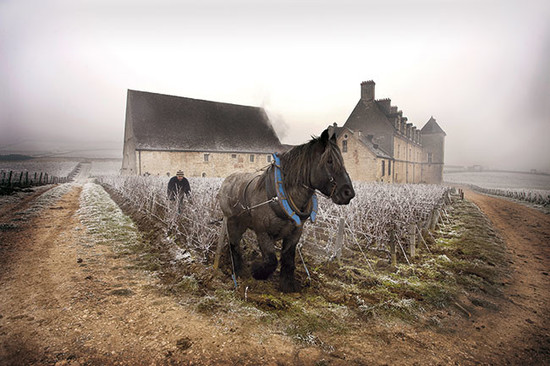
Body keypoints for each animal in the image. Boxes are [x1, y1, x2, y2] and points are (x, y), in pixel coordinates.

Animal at [218, 128, 356, 292]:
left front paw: (287, 286)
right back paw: (240, 271)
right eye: (329, 161)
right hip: (233, 222)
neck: (281, 196)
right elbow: (271, 260)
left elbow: (288, 259)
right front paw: (256, 271)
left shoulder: (295, 233)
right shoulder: (262, 231)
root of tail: (227, 180)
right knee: (234, 244)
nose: (349, 193)